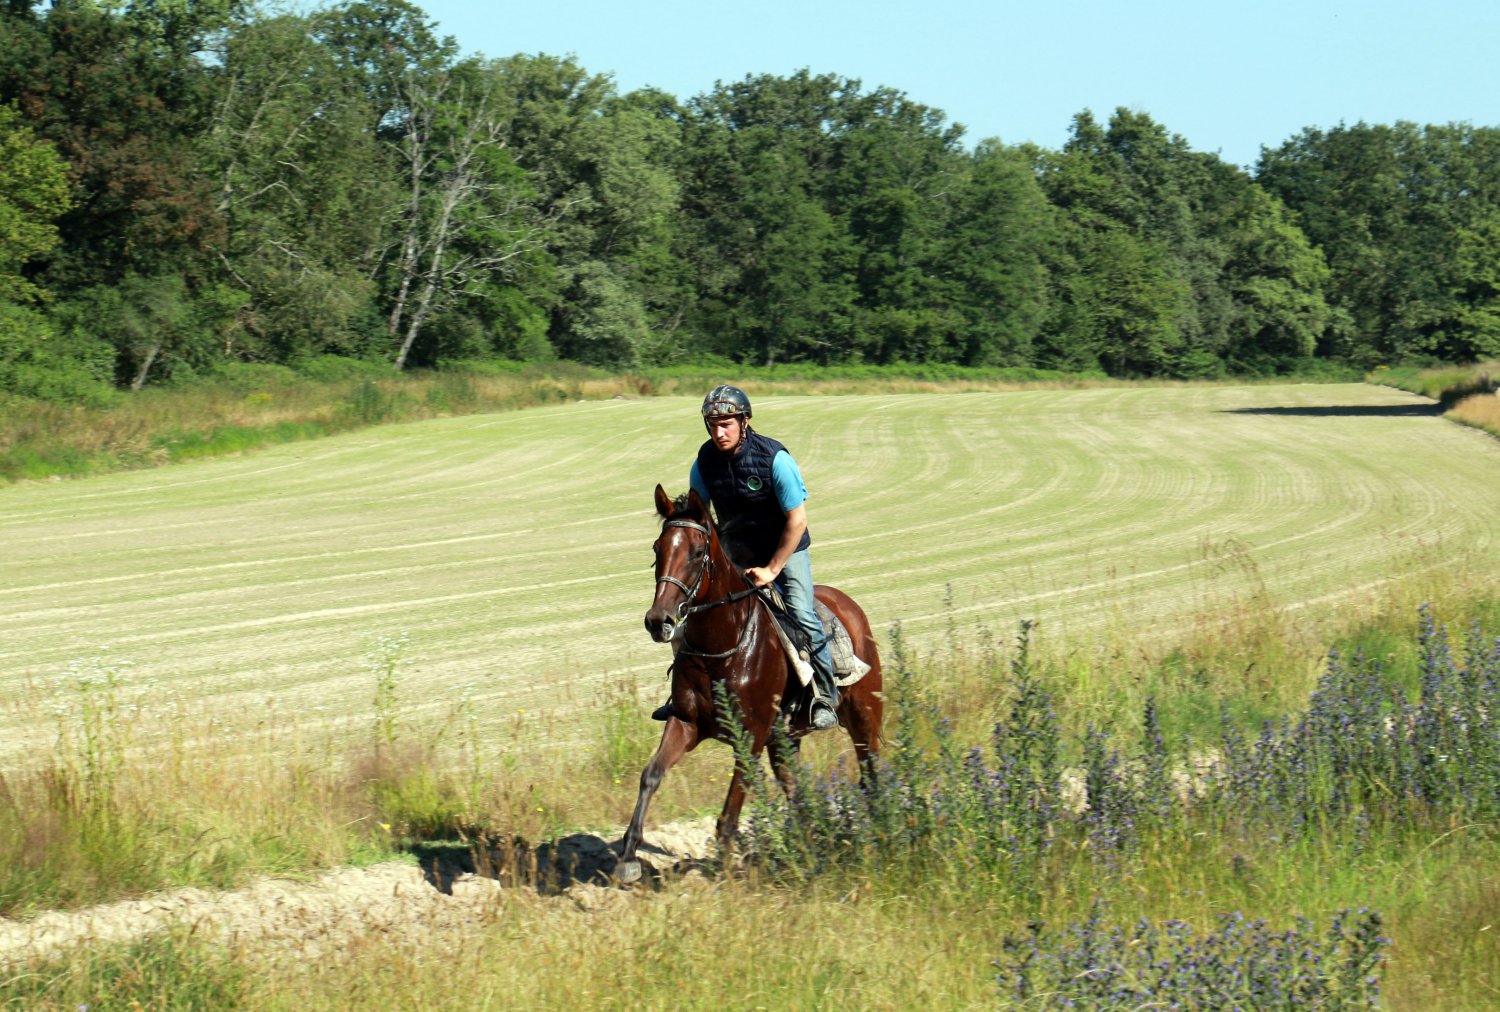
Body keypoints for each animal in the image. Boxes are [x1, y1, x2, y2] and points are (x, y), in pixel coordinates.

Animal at [616, 484, 883, 883]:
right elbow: (651, 775)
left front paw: (725, 873)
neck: (722, 647)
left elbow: (730, 810)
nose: (658, 620)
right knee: (797, 790)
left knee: (871, 773)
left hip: (864, 715)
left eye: (697, 552)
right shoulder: (685, 722)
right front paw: (628, 856)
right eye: (657, 548)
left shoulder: (751, 736)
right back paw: (808, 847)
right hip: (785, 739)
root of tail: (850, 606)